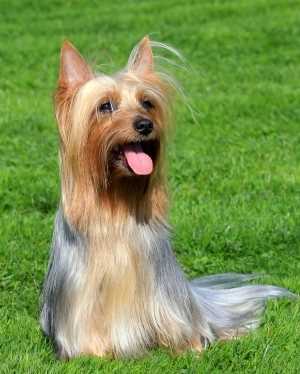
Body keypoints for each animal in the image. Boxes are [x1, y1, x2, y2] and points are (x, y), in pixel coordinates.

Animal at [41, 35, 292, 360]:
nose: (145, 124)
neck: (116, 204)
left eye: (147, 103)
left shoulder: (166, 298)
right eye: (105, 106)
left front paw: (190, 348)